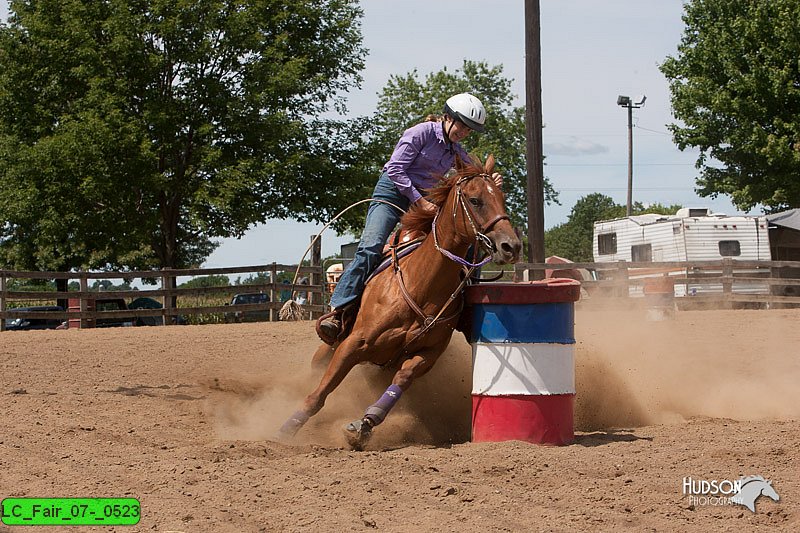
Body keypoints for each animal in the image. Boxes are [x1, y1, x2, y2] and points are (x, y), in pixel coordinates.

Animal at [278, 155, 520, 448]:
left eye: (502, 197)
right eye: (475, 200)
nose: (511, 246)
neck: (421, 285)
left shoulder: (426, 354)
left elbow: (402, 380)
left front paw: (365, 423)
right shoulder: (352, 344)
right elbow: (320, 393)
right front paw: (287, 428)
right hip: (329, 346)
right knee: (317, 372)